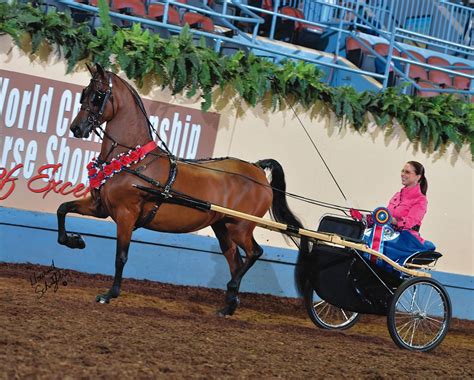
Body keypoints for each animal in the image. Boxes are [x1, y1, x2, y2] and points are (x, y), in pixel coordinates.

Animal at [57, 63, 308, 316]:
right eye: (84, 93)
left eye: (98, 95)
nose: (76, 128)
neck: (132, 160)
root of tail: (257, 170)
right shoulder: (100, 207)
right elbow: (63, 209)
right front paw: (74, 241)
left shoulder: (126, 215)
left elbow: (121, 256)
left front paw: (110, 294)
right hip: (222, 226)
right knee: (235, 259)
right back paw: (228, 305)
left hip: (240, 227)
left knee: (254, 253)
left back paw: (232, 290)